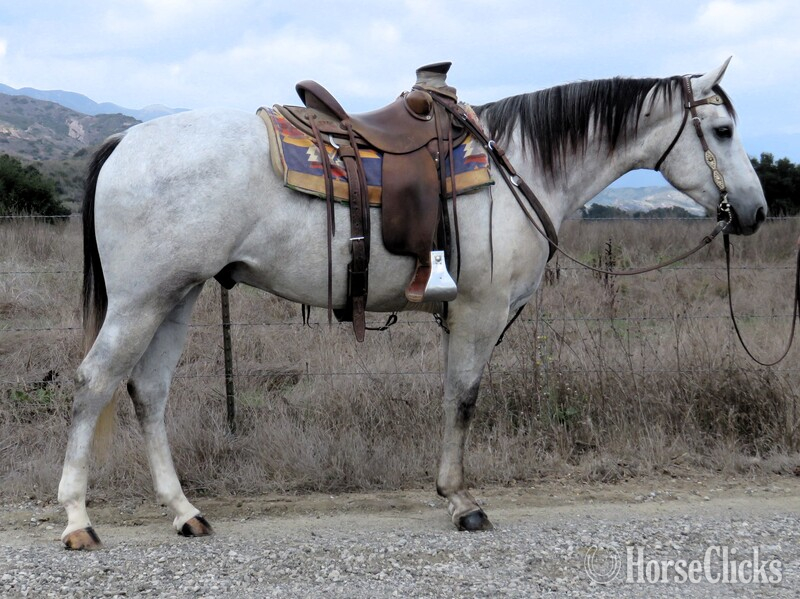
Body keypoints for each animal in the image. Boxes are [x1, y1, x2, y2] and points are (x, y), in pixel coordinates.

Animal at [58, 59, 767, 549]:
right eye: (723, 129)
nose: (755, 212)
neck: (519, 166)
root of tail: (125, 142)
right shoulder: (480, 313)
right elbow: (462, 400)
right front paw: (461, 501)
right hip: (141, 300)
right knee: (95, 382)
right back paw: (77, 519)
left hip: (177, 296)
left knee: (148, 392)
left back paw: (184, 512)